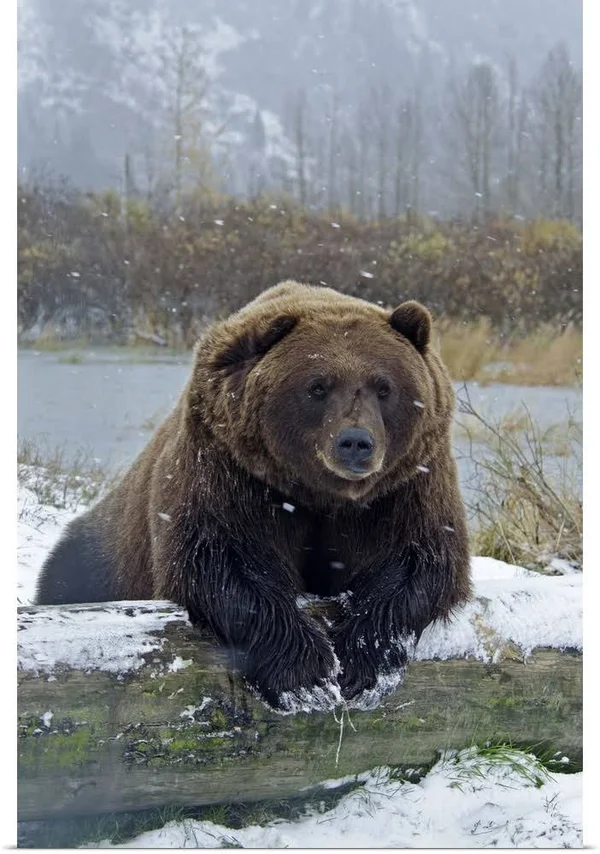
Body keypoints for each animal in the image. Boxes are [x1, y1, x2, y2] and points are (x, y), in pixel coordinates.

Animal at [36, 281, 471, 711]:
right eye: (317, 386)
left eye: (384, 387)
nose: (355, 442)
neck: (318, 494)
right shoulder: (230, 468)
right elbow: (223, 559)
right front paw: (305, 674)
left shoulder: (403, 486)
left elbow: (417, 560)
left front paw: (360, 664)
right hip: (101, 557)